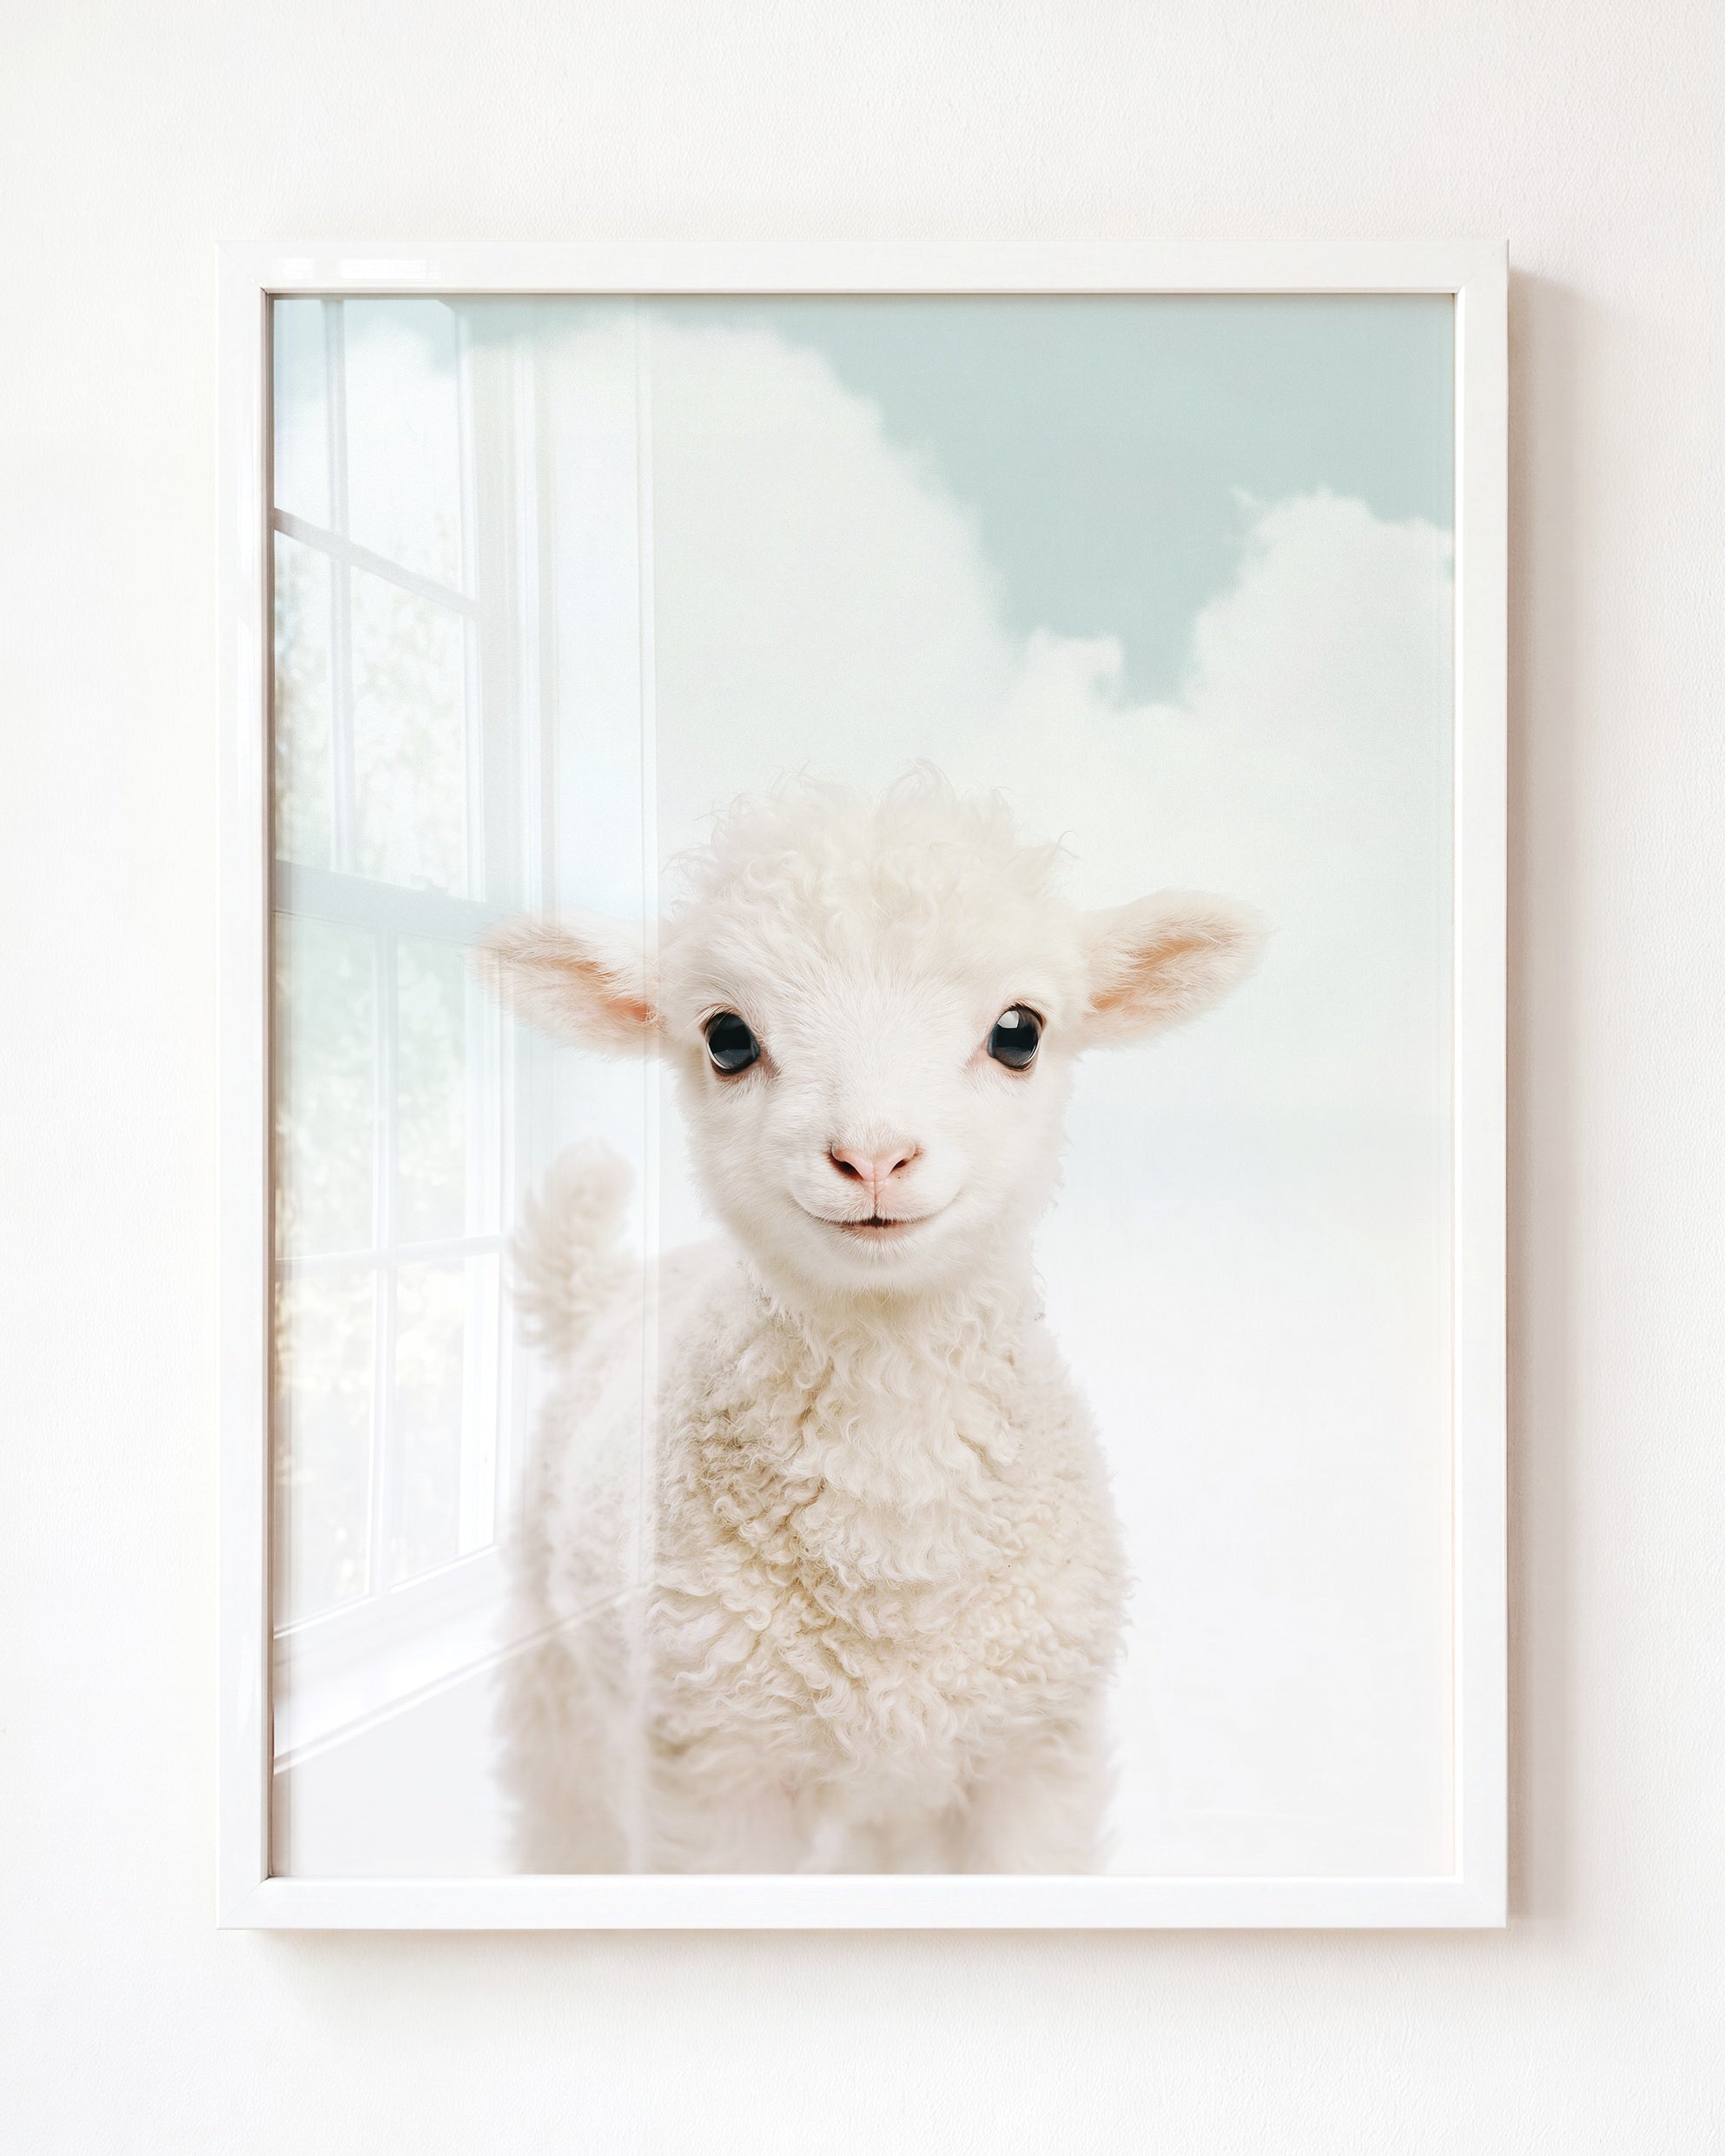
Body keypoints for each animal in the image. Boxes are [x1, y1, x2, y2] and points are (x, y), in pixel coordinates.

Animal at [479, 770, 1260, 1874]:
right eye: (727, 1037)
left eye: (1019, 1031)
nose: (874, 1157)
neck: (894, 1552)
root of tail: (613, 1288)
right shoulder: (717, 1772)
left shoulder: (1033, 1757)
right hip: (558, 1685)